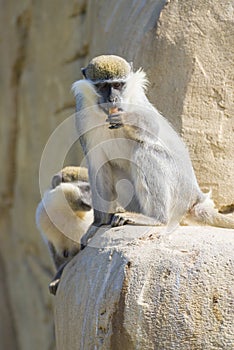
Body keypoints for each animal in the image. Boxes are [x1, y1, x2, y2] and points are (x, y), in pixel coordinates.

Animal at [72, 54, 233, 246]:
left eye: (118, 85)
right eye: (103, 86)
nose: (112, 99)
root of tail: (195, 197)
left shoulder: (138, 99)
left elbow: (153, 127)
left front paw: (127, 118)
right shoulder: (82, 114)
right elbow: (98, 165)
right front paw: (97, 224)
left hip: (178, 191)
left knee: (145, 150)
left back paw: (156, 218)